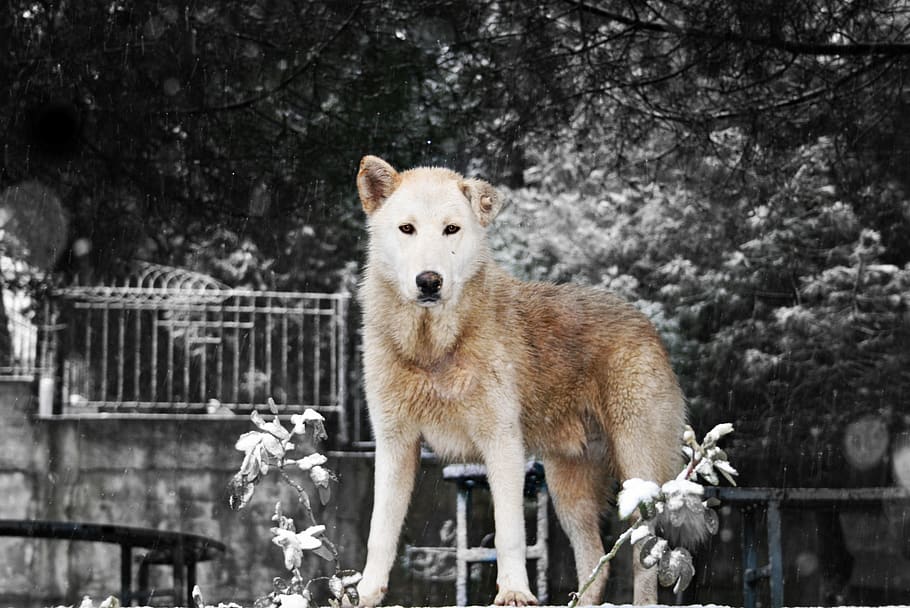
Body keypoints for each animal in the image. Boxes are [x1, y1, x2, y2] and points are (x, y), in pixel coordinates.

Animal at [354, 155, 686, 606]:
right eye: (407, 229)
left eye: (451, 229)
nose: (429, 281)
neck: (433, 353)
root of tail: (647, 324)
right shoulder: (395, 444)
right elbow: (379, 532)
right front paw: (363, 594)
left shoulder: (503, 444)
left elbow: (509, 532)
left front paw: (514, 593)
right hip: (568, 492)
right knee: (596, 562)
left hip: (636, 477)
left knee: (643, 553)